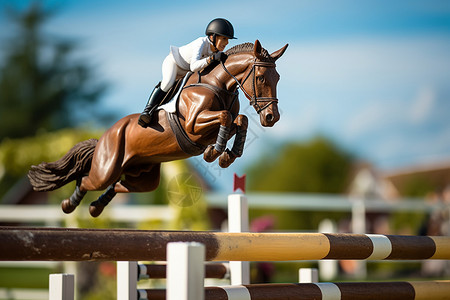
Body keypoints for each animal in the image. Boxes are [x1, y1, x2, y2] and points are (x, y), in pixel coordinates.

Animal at [28, 40, 288, 218]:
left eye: (277, 77)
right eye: (261, 78)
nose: (271, 117)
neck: (217, 84)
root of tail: (103, 137)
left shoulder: (212, 127)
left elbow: (240, 120)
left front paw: (224, 156)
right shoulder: (194, 125)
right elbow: (226, 117)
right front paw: (215, 153)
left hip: (143, 176)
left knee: (121, 185)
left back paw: (95, 207)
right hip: (106, 167)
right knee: (86, 179)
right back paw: (69, 204)